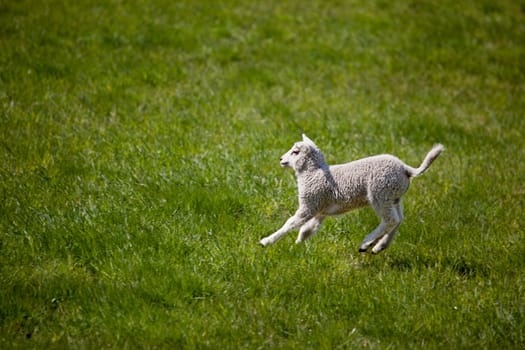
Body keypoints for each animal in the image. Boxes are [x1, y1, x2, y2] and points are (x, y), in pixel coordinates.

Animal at [258, 135, 442, 254]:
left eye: (295, 152)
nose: (281, 159)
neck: (313, 172)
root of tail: (406, 169)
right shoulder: (320, 210)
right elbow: (307, 229)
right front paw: (297, 245)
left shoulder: (310, 204)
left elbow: (291, 223)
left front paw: (266, 241)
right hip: (394, 197)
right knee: (398, 220)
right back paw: (379, 246)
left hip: (380, 193)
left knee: (390, 220)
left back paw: (366, 243)